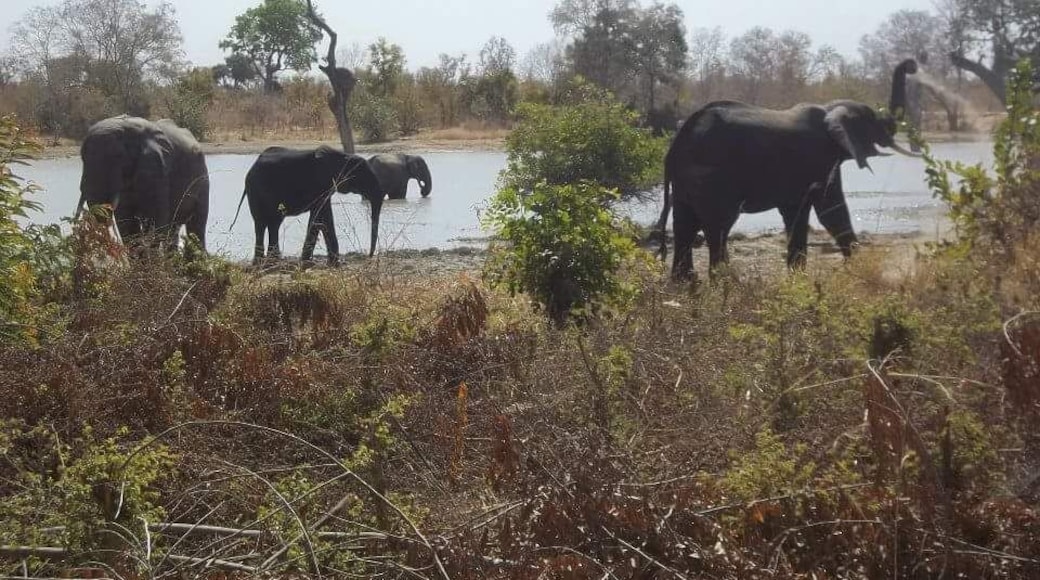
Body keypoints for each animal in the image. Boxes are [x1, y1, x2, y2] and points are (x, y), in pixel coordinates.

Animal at [77, 115, 209, 252]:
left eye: (118, 157)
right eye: (82, 156)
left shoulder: (157, 170)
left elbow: (155, 221)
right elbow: (127, 223)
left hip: (203, 179)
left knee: (196, 226)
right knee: (174, 228)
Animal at [232, 146, 385, 265]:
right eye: (364, 177)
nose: (370, 256)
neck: (343, 157)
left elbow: (322, 217)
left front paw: (328, 262)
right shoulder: (320, 184)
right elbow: (321, 217)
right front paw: (318, 262)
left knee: (274, 223)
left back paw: (273, 261)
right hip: (256, 191)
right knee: (261, 223)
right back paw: (262, 263)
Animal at [657, 59, 922, 280]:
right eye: (874, 123)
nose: (911, 65)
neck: (829, 109)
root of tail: (677, 143)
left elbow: (797, 213)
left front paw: (798, 278)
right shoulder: (821, 158)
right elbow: (831, 210)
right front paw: (856, 267)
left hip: (686, 181)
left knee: (685, 225)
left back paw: (687, 284)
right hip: (712, 177)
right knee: (718, 226)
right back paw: (724, 283)